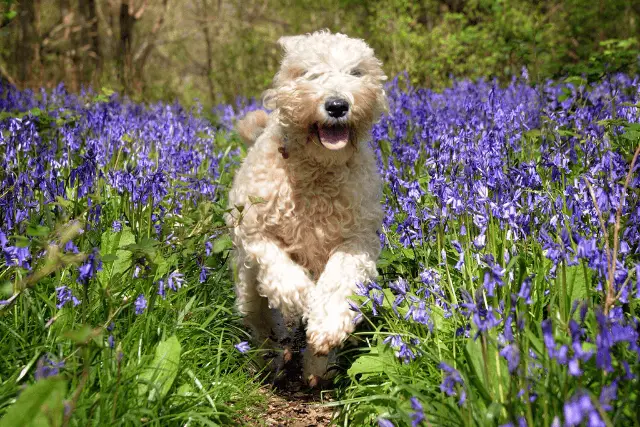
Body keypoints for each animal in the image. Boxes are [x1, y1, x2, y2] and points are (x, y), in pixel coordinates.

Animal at [226, 30, 384, 384]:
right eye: (310, 72)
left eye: (356, 72)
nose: (337, 105)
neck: (317, 172)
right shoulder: (254, 231)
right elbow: (281, 270)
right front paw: (302, 298)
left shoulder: (356, 241)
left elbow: (339, 281)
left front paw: (326, 326)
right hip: (247, 289)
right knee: (261, 322)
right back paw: (272, 355)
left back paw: (315, 367)